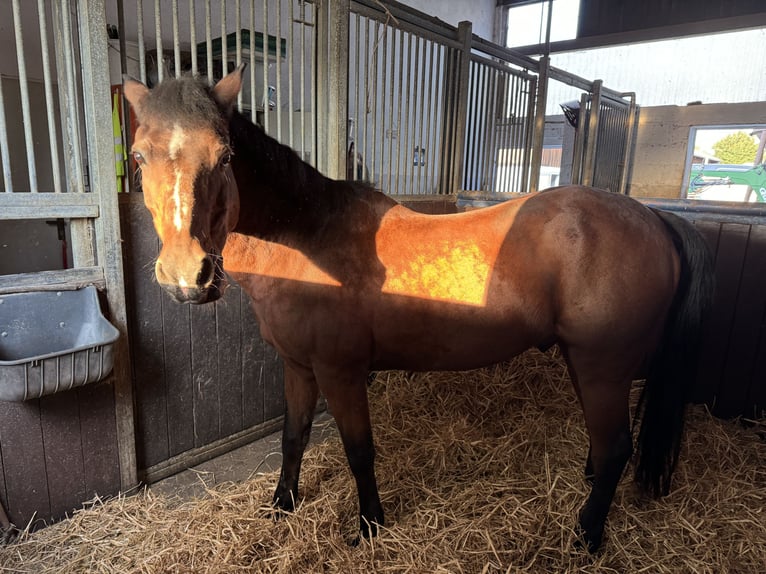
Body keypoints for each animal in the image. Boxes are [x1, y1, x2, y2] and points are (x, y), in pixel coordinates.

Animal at [123, 66, 716, 552]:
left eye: (224, 156)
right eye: (138, 156)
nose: (186, 276)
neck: (306, 237)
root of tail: (655, 218)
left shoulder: (340, 373)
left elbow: (359, 451)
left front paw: (370, 526)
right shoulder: (298, 367)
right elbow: (294, 439)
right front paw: (282, 505)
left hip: (603, 367)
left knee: (616, 449)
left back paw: (586, 536)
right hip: (585, 363)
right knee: (604, 446)